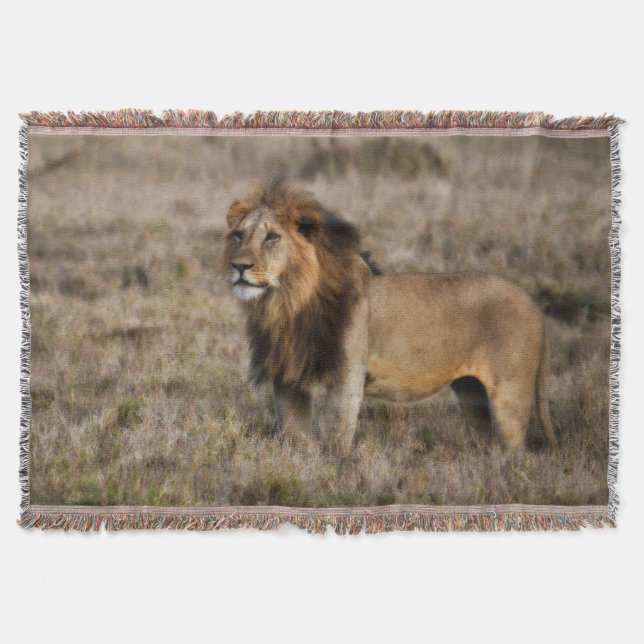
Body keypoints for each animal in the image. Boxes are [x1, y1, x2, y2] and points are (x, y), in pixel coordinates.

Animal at [224, 182, 556, 454]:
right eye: (239, 235)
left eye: (271, 237)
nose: (238, 266)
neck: (287, 302)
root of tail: (533, 305)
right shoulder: (288, 377)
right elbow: (295, 436)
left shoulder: (347, 375)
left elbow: (336, 434)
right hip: (470, 390)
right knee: (486, 440)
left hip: (510, 394)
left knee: (516, 450)